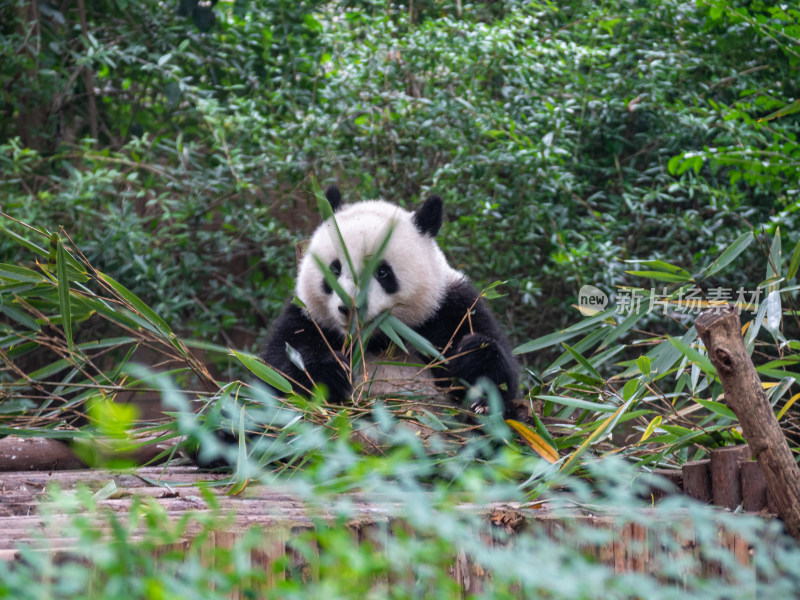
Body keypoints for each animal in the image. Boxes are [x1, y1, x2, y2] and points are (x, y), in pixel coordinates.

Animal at [262, 185, 520, 414]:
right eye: (335, 269)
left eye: (383, 272)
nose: (350, 308)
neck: (378, 340)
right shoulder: (306, 316)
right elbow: (280, 371)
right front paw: (329, 372)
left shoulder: (449, 308)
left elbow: (501, 382)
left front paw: (473, 357)